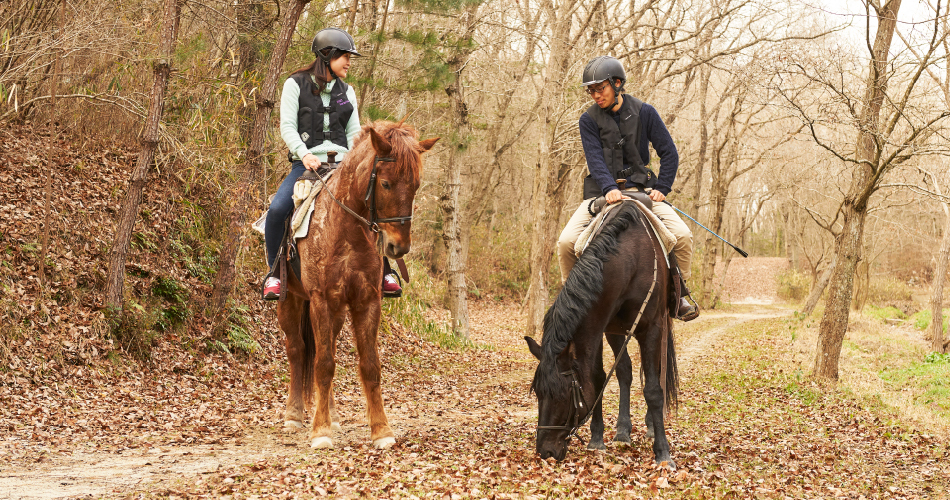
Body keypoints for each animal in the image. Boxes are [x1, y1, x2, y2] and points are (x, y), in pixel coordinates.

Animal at [276, 120, 438, 449]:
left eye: (416, 185)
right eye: (386, 184)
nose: (398, 247)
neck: (345, 229)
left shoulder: (366, 300)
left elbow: (369, 365)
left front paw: (381, 430)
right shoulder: (321, 299)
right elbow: (323, 364)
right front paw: (320, 432)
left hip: (337, 312)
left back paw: (333, 415)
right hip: (291, 301)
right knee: (298, 351)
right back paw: (294, 415)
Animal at [524, 202, 679, 466]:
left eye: (564, 394)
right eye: (538, 393)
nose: (545, 451)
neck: (631, 259)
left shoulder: (651, 329)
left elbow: (653, 390)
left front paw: (663, 452)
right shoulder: (600, 326)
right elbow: (597, 379)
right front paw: (597, 439)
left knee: (656, 376)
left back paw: (650, 426)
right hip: (617, 332)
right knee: (625, 371)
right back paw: (623, 430)